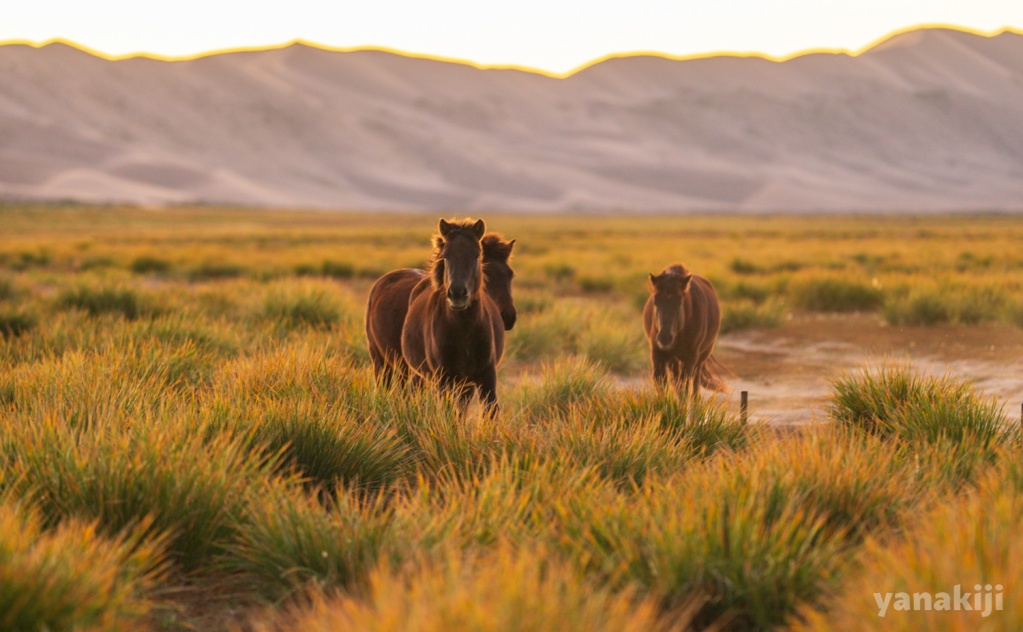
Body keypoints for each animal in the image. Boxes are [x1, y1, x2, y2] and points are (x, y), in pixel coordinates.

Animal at [401, 218, 505, 410]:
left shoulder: (486, 377)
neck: (464, 329)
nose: (457, 293)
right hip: (421, 375)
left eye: (476, 255)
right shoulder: (444, 378)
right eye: (446, 256)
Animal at [643, 264, 728, 399]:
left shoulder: (689, 358)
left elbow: (684, 388)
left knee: (695, 380)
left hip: (701, 357)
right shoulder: (658, 355)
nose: (664, 338)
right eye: (655, 301)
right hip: (674, 359)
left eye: (679, 302)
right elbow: (661, 385)